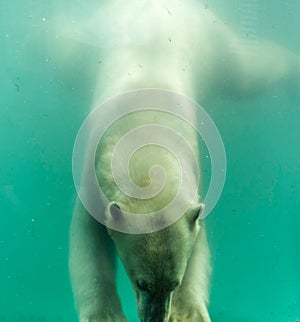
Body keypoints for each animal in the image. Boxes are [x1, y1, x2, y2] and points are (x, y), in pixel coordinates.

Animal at [63, 0, 300, 322]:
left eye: (174, 282)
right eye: (142, 282)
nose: (155, 318)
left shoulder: (194, 180)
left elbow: (199, 245)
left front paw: (189, 313)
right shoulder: (92, 171)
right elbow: (86, 241)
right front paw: (106, 315)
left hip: (214, 44)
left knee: (247, 74)